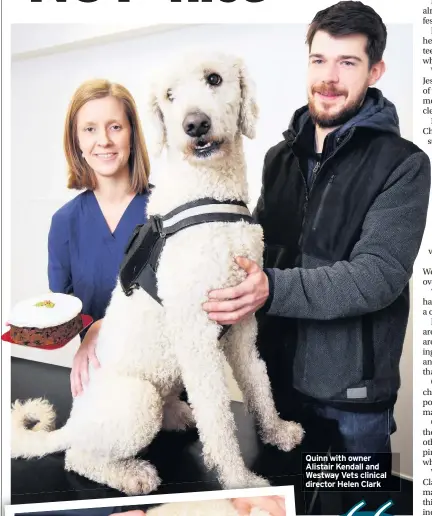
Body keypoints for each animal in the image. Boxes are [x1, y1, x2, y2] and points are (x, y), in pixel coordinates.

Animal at [11, 51, 304, 496]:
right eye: (169, 95)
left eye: (214, 78)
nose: (194, 125)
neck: (208, 196)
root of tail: (73, 425)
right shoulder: (198, 339)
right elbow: (219, 420)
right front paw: (239, 481)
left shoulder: (241, 326)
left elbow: (259, 384)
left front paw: (276, 431)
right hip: (137, 400)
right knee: (78, 458)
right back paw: (132, 474)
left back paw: (179, 416)